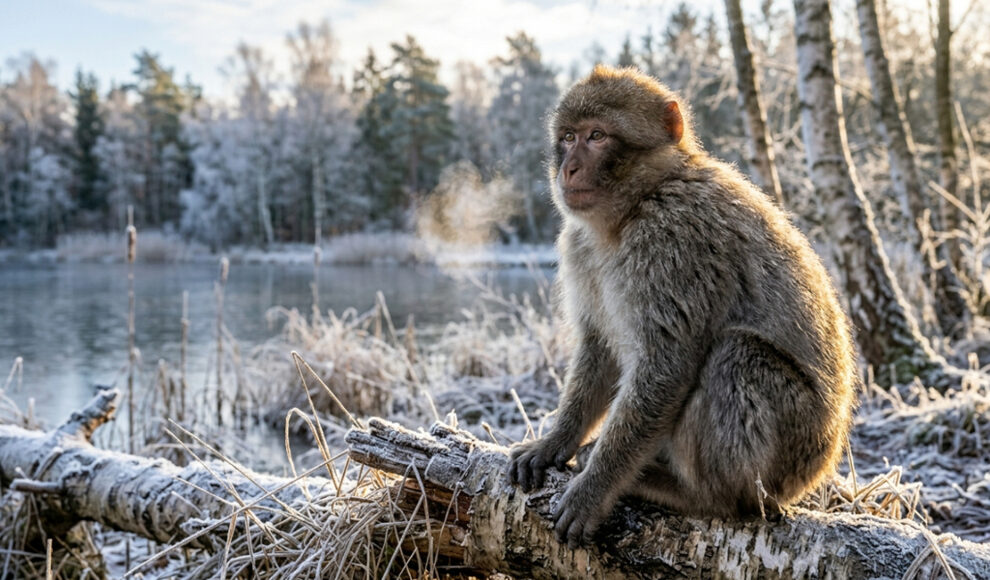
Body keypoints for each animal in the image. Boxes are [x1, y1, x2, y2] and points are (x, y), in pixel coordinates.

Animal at [507, 65, 858, 548]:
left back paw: (700, 494)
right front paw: (554, 441)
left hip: (793, 451)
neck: (637, 204)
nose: (568, 167)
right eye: (568, 137)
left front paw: (595, 487)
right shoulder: (579, 245)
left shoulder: (673, 239)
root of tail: (820, 466)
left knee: (737, 354)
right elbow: (601, 348)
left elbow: (665, 365)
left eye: (597, 136)